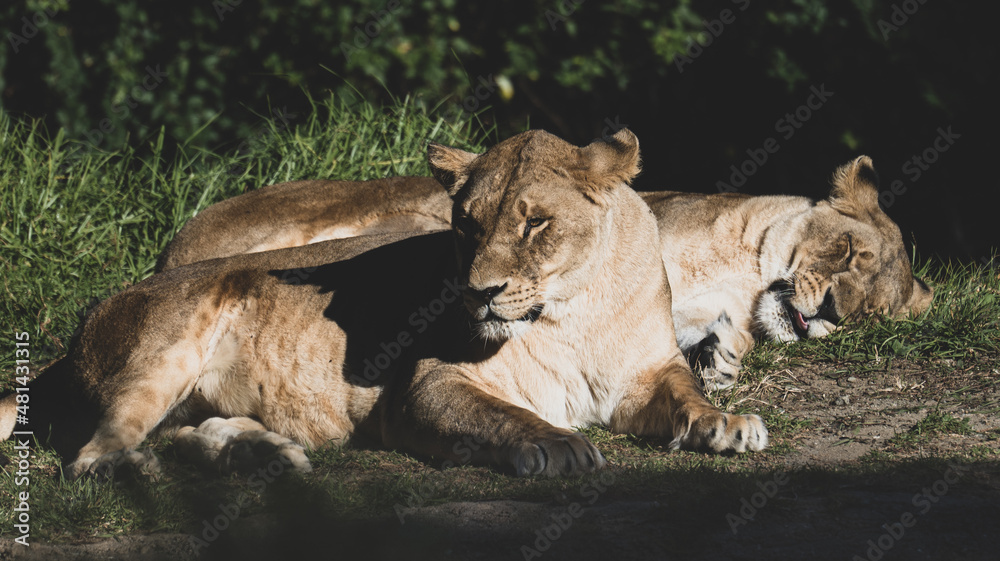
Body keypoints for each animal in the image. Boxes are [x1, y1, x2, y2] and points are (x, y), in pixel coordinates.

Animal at [1, 129, 766, 480]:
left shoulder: (644, 376)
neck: (569, 308)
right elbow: (504, 416)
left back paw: (268, 454)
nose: (479, 291)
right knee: (93, 453)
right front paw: (559, 444)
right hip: (167, 342)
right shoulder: (424, 386)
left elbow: (686, 394)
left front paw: (726, 422)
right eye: (466, 225)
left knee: (175, 434)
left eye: (534, 223)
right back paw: (141, 472)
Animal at [154, 156, 933, 391]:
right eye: (849, 252)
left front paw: (719, 358)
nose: (830, 312)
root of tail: (176, 245)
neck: (740, 278)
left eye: (869, 313)